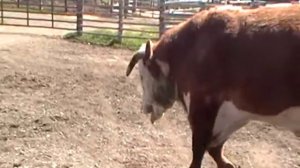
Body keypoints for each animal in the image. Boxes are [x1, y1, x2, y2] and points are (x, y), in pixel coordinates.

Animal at [125, 4, 298, 168]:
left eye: (142, 76)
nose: (145, 108)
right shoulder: (233, 115)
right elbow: (214, 148)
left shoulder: (202, 107)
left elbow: (198, 151)